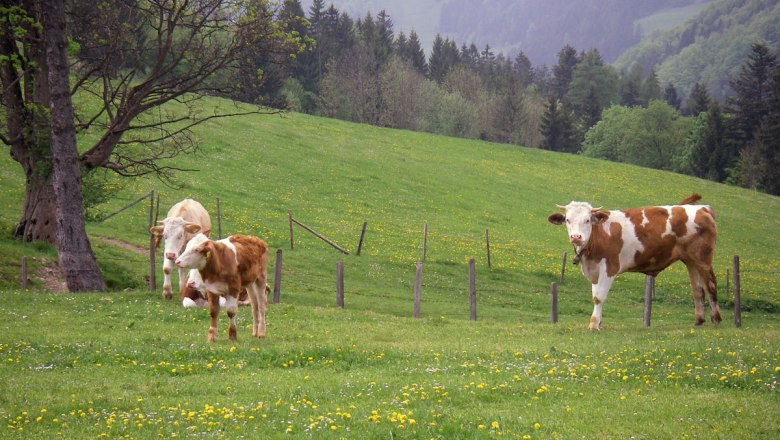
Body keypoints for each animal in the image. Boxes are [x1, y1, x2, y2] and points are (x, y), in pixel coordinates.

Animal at [544, 194, 724, 328]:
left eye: (587, 220)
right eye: (568, 220)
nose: (576, 237)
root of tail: (702, 208)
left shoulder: (609, 268)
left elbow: (599, 297)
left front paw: (593, 325)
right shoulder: (594, 271)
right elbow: (595, 295)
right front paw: (599, 322)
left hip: (703, 259)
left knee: (710, 285)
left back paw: (716, 319)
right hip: (690, 260)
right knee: (697, 289)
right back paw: (699, 320)